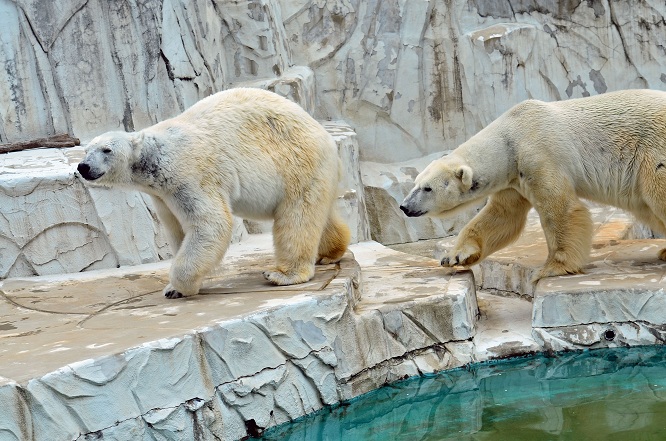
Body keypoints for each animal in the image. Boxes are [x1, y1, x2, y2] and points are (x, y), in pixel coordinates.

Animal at [78, 86, 350, 300]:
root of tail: (325, 135)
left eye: (106, 150)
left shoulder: (188, 176)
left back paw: (283, 274)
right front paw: (174, 287)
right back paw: (329, 253)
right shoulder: (162, 196)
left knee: (297, 217)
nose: (83, 167)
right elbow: (177, 229)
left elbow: (209, 224)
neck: (155, 158)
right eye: (87, 151)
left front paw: (179, 287)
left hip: (297, 163)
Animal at [400, 88, 664, 282]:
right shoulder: (513, 178)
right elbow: (502, 216)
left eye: (427, 188)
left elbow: (560, 209)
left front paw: (550, 269)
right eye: (416, 183)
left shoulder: (539, 155)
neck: (509, 138)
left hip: (652, 154)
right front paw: (455, 256)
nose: (404, 206)